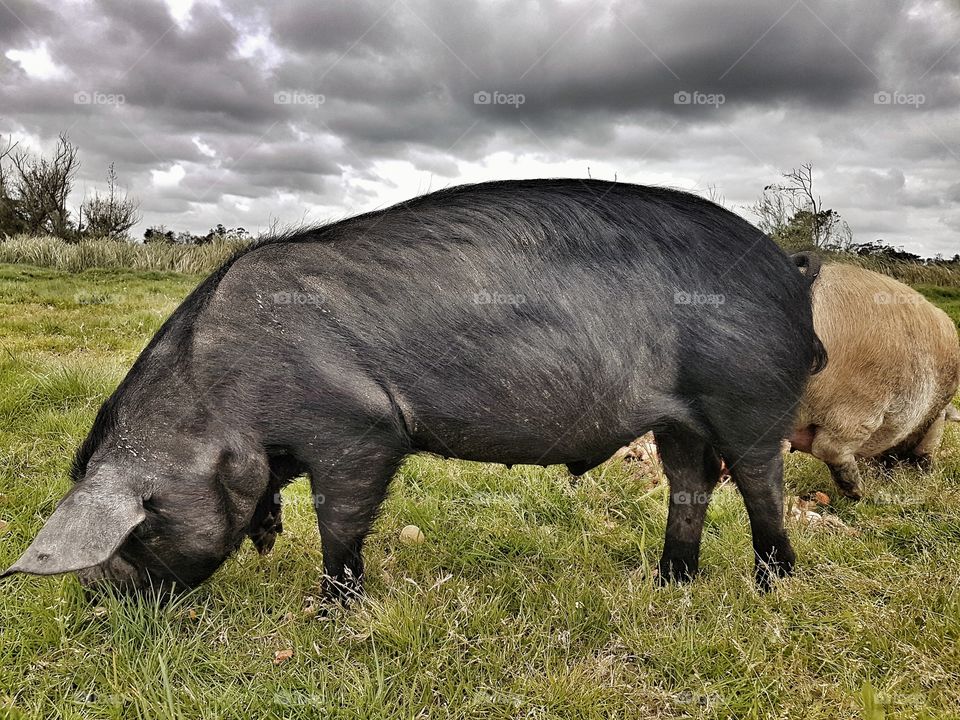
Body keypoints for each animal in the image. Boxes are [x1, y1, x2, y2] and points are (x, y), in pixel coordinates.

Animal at [2, 179, 824, 601]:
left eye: (136, 533)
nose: (95, 600)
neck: (220, 396)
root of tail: (791, 272)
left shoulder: (361, 428)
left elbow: (339, 524)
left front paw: (334, 609)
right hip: (679, 415)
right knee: (692, 480)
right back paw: (670, 584)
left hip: (750, 395)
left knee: (759, 481)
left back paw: (771, 586)